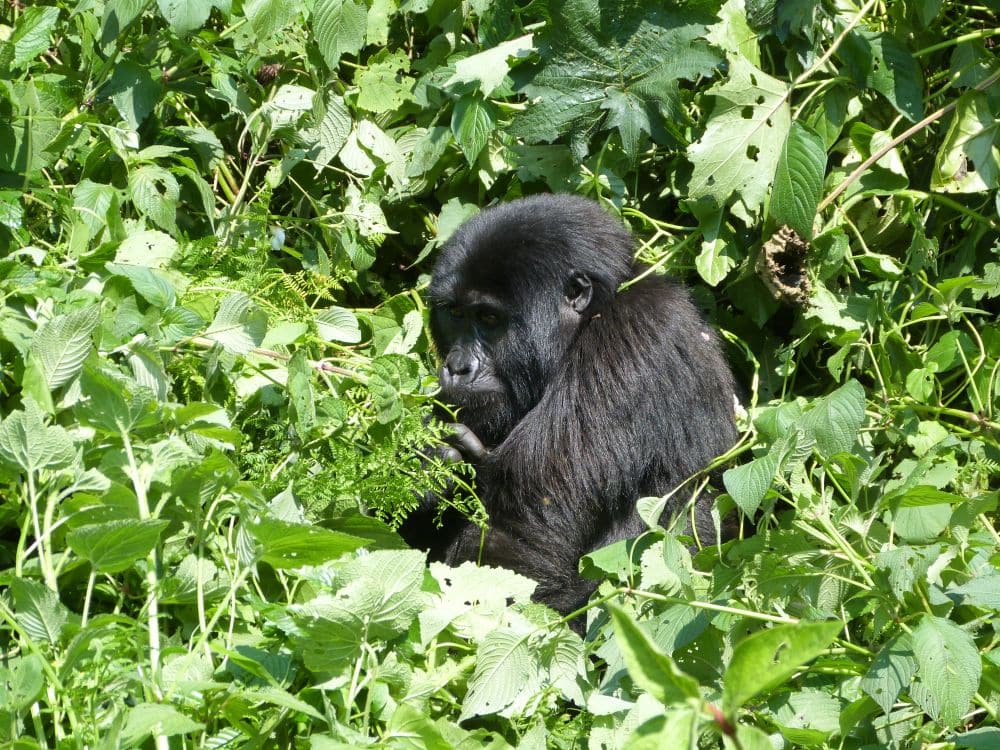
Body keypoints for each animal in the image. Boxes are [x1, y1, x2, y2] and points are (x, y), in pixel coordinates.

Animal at [402, 195, 740, 624]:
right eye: (455, 314)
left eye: (489, 318)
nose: (457, 367)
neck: (591, 315)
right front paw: (430, 468)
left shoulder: (629, 341)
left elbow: (518, 544)